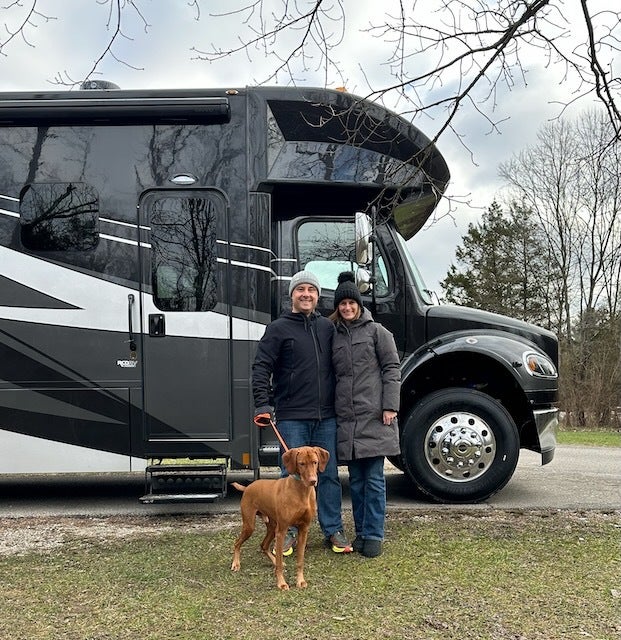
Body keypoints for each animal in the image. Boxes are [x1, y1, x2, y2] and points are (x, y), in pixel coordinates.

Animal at [230, 444, 330, 592]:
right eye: (301, 464)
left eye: (315, 462)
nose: (313, 481)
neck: (301, 492)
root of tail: (248, 487)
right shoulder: (282, 531)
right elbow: (280, 563)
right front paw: (281, 583)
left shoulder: (304, 530)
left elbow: (300, 560)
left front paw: (300, 581)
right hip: (250, 526)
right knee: (237, 543)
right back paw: (236, 564)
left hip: (272, 527)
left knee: (264, 546)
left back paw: (273, 561)